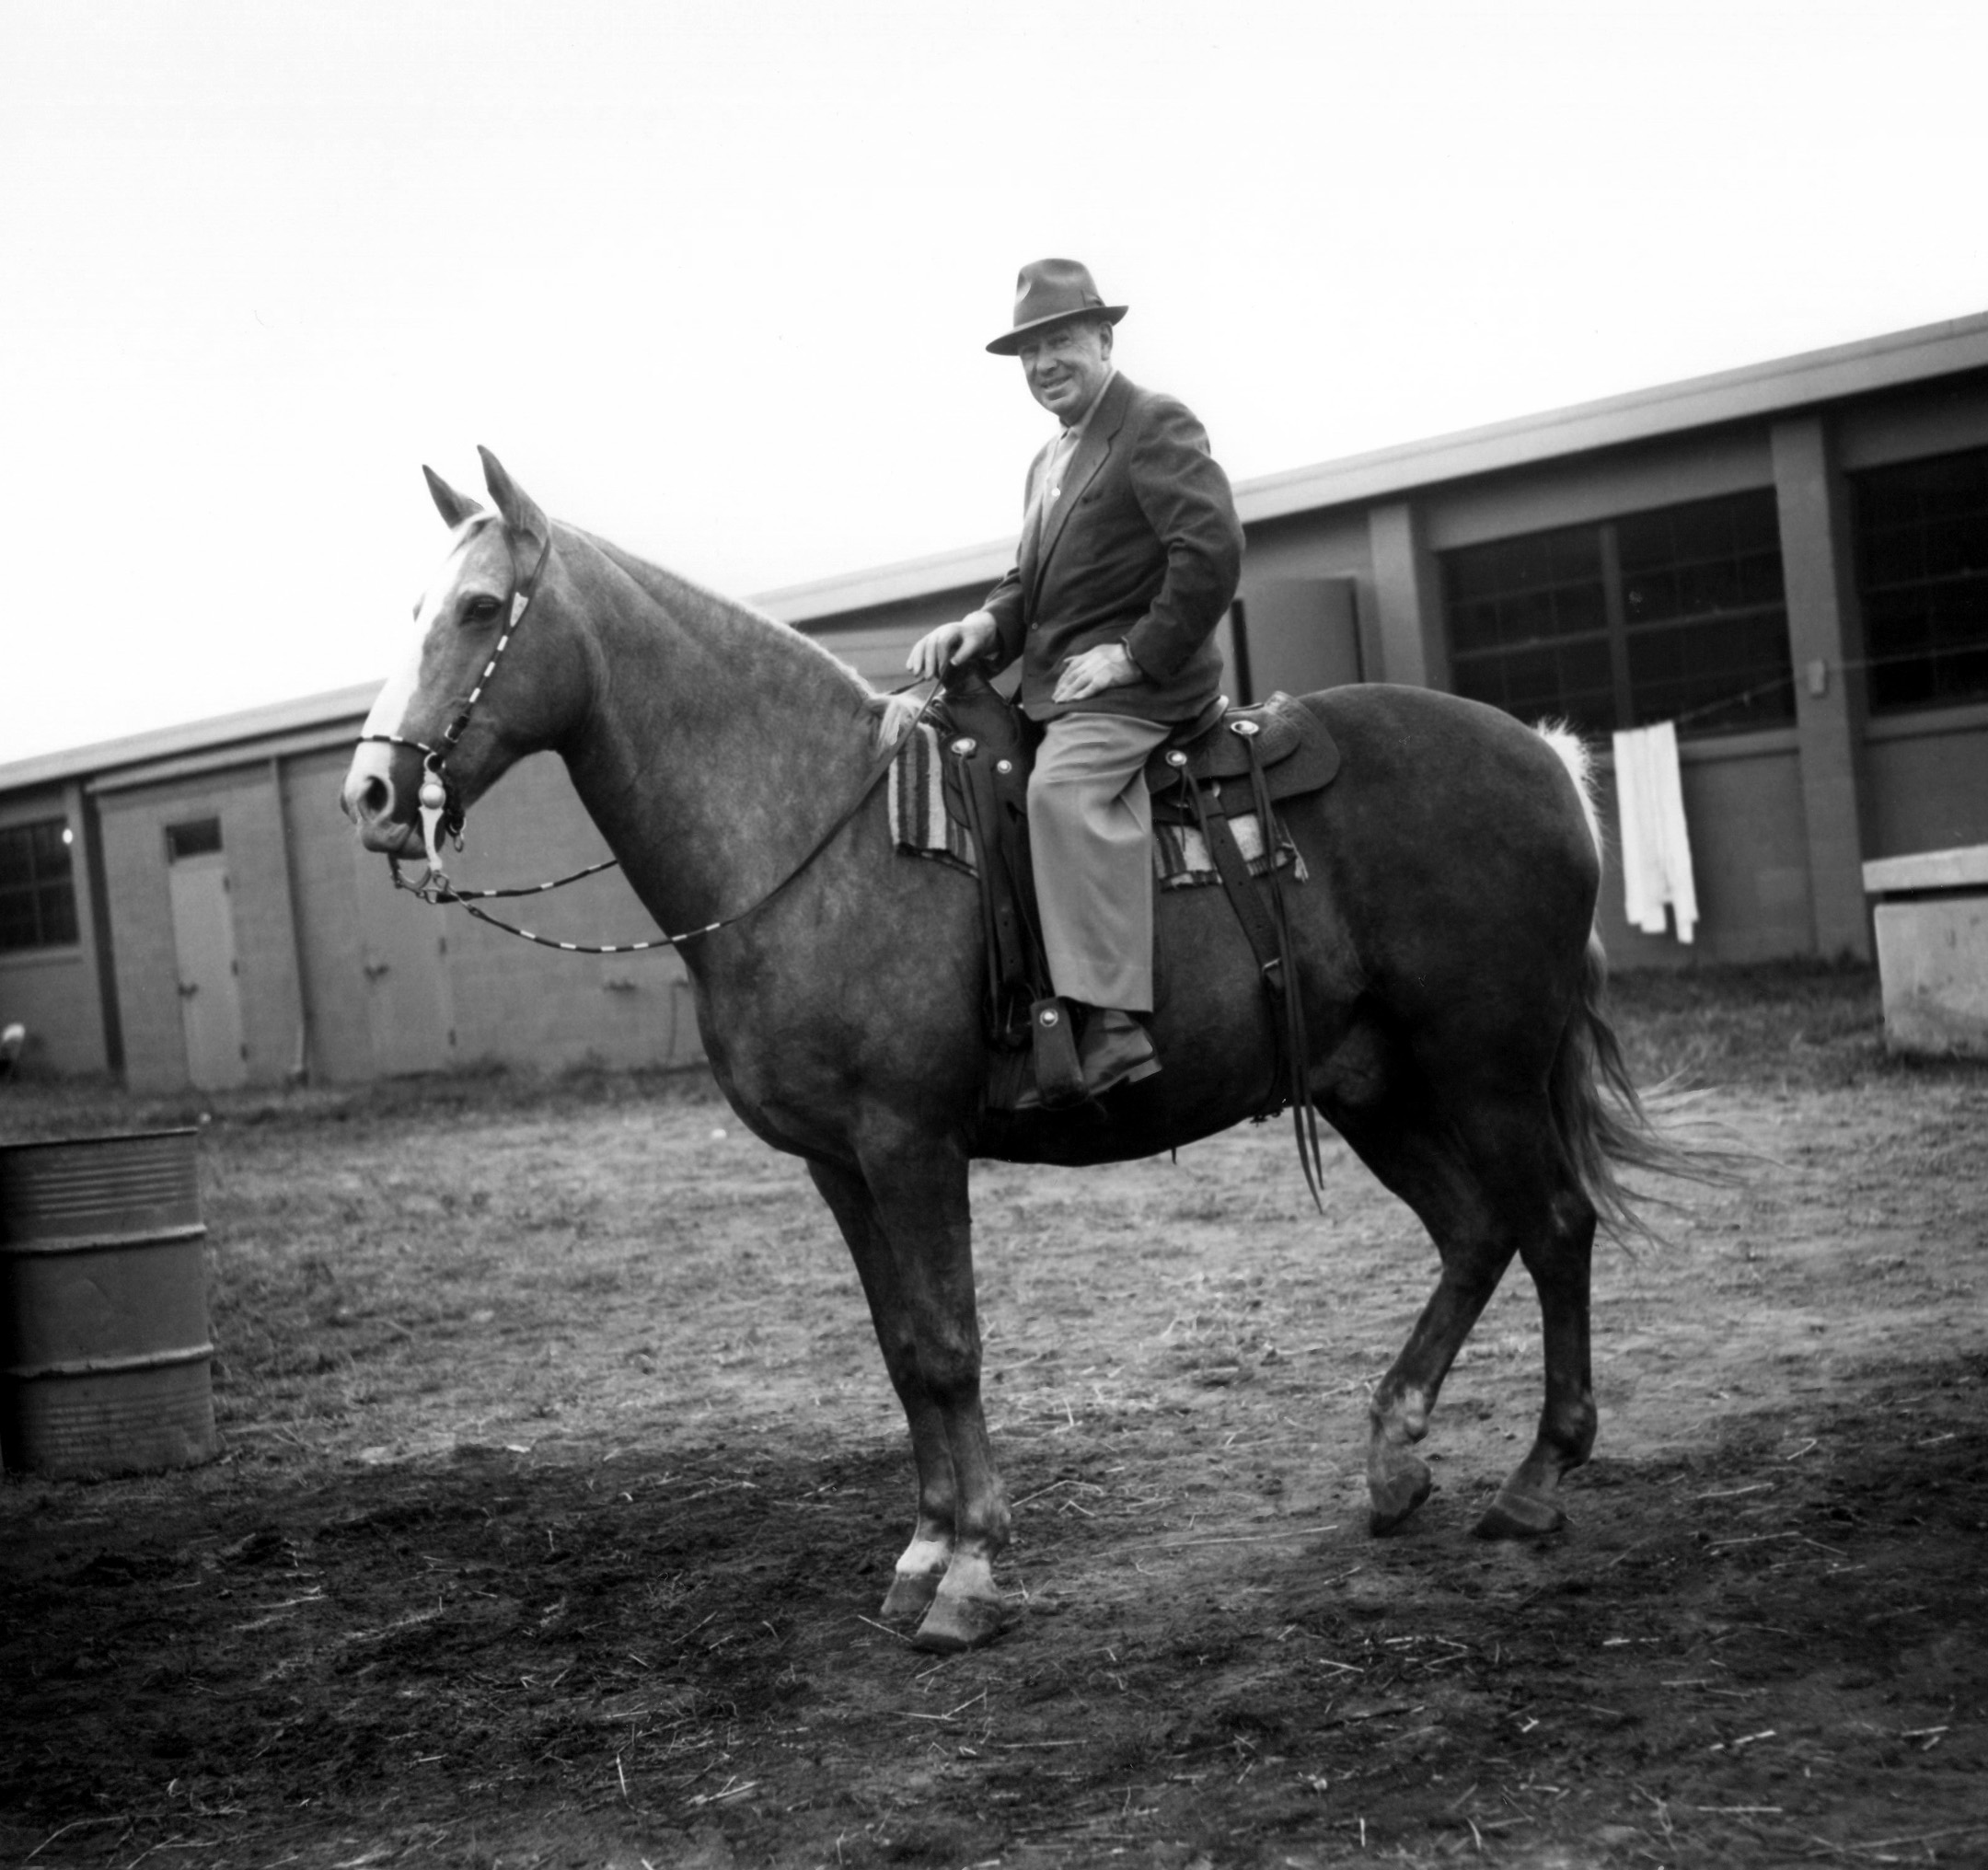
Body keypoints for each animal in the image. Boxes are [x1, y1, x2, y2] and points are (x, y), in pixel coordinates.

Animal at [341, 449, 1678, 1645]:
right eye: (411, 611)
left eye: (477, 610)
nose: (371, 795)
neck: (821, 835)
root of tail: (1543, 756)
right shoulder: (839, 1164)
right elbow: (900, 1351)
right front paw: (922, 1550)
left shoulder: (909, 1142)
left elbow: (949, 1344)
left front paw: (972, 1573)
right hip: (1376, 1085)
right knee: (1476, 1230)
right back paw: (1396, 1463)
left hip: (1487, 1067)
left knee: (1554, 1225)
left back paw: (1536, 1483)